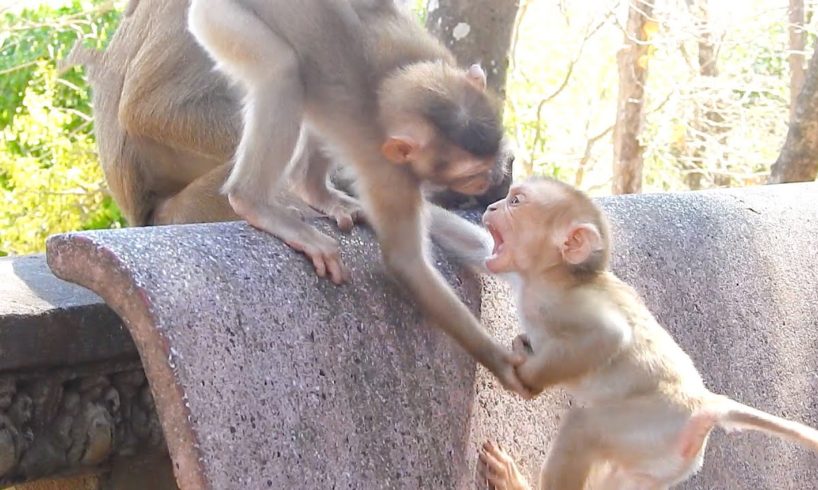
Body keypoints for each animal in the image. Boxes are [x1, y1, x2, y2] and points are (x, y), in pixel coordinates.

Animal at [428, 177, 816, 490]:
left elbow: (609, 336)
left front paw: (523, 376)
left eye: (516, 201)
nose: (492, 206)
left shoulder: (562, 301)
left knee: (584, 428)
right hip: (662, 460)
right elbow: (478, 248)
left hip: (654, 423)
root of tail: (707, 403)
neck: (553, 274)